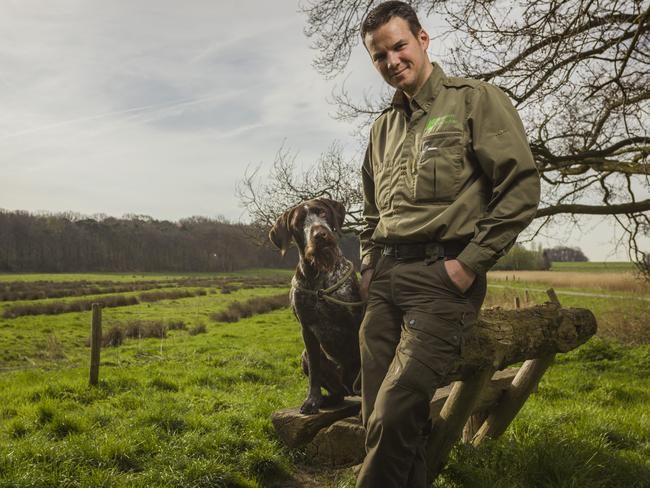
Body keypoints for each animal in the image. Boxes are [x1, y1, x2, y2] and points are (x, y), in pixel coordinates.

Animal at [268, 196, 362, 414]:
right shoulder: (306, 329)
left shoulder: (356, 320)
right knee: (338, 393)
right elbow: (314, 372)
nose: (320, 235)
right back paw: (327, 400)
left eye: (322, 213)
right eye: (298, 222)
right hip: (307, 357)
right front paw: (312, 401)